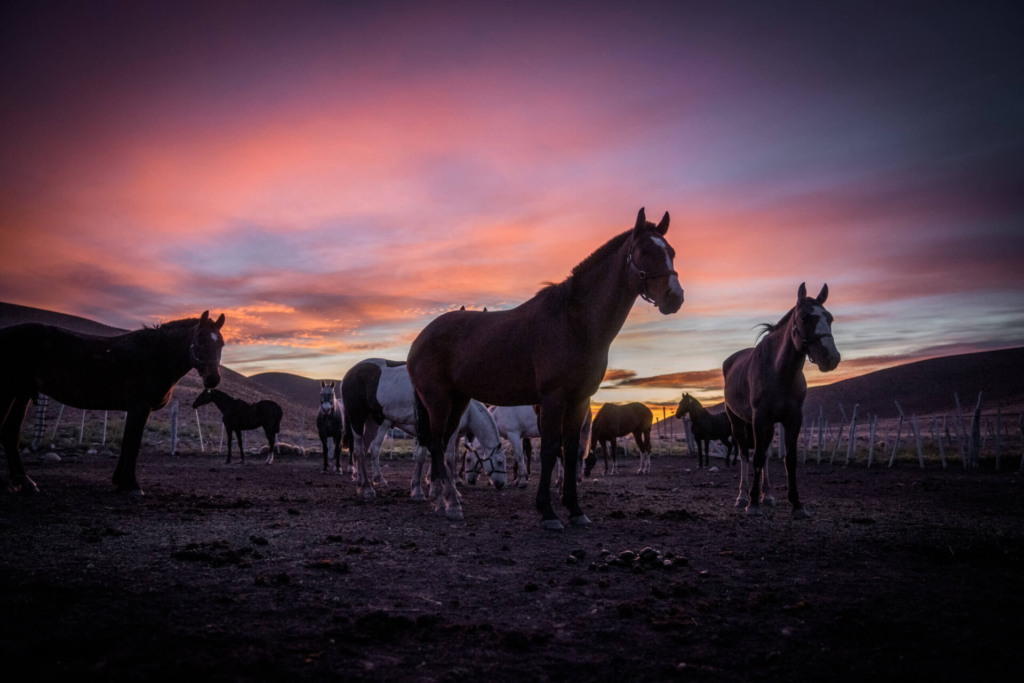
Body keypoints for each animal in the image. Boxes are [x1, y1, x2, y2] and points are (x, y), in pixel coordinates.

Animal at [0, 311, 225, 495]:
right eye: (200, 340)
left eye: (221, 344)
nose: (213, 379)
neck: (156, 356)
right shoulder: (139, 407)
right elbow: (133, 443)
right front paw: (131, 485)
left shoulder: (133, 409)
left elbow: (126, 443)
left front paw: (119, 482)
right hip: (9, 392)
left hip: (21, 394)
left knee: (10, 431)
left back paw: (24, 481)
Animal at [341, 358, 505, 501]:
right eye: (499, 462)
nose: (502, 483)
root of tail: (349, 373)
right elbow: (431, 457)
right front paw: (420, 491)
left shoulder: (450, 431)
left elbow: (444, 457)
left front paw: (440, 490)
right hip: (361, 420)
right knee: (363, 450)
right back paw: (368, 488)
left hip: (373, 422)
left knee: (363, 450)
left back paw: (361, 484)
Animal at [407, 208, 684, 527]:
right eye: (644, 251)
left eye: (671, 252)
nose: (675, 297)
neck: (573, 323)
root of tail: (420, 338)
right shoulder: (553, 398)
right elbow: (551, 449)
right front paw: (548, 512)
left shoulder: (579, 400)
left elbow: (570, 450)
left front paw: (575, 510)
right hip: (438, 402)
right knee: (437, 445)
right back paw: (451, 503)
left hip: (457, 401)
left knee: (438, 445)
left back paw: (442, 501)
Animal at [723, 283, 840, 518]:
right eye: (804, 318)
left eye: (830, 318)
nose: (831, 358)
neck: (779, 372)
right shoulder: (759, 419)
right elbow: (756, 458)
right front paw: (753, 504)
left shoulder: (792, 419)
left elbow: (789, 460)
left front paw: (797, 505)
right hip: (738, 423)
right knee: (744, 455)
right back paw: (743, 496)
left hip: (767, 427)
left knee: (766, 455)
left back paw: (767, 496)